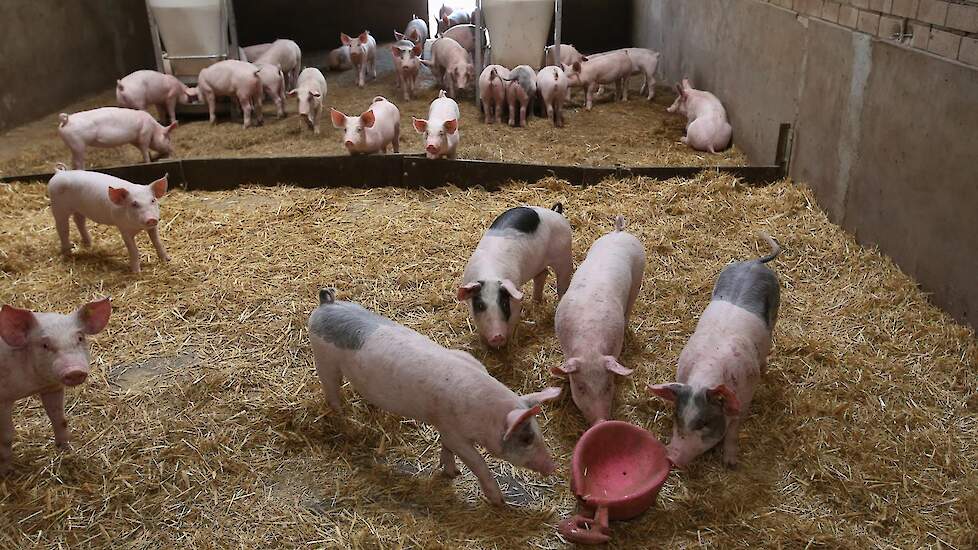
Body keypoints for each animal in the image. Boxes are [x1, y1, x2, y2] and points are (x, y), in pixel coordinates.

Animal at [0, 296, 111, 476]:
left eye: (80, 338)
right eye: (45, 345)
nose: (74, 371)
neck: (33, 386)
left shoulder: (53, 388)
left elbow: (60, 419)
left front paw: (67, 451)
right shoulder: (3, 399)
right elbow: (6, 436)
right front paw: (6, 472)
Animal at [308, 288, 560, 508]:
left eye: (538, 431)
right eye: (526, 439)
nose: (553, 466)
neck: (485, 414)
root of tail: (326, 304)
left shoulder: (445, 428)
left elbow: (446, 448)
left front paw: (452, 472)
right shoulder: (453, 431)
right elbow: (477, 462)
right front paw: (499, 501)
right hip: (324, 361)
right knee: (331, 391)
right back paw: (343, 417)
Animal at [458, 203, 572, 350]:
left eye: (504, 304)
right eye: (480, 305)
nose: (497, 336)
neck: (489, 275)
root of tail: (556, 213)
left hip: (564, 256)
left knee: (562, 284)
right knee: (542, 274)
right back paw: (535, 302)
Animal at [552, 216, 644, 426]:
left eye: (608, 386)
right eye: (580, 387)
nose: (601, 421)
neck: (590, 346)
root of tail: (618, 232)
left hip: (639, 276)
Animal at [648, 236, 776, 470]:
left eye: (704, 423)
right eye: (677, 417)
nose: (672, 457)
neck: (705, 375)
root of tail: (755, 263)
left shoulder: (745, 398)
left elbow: (733, 431)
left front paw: (731, 464)